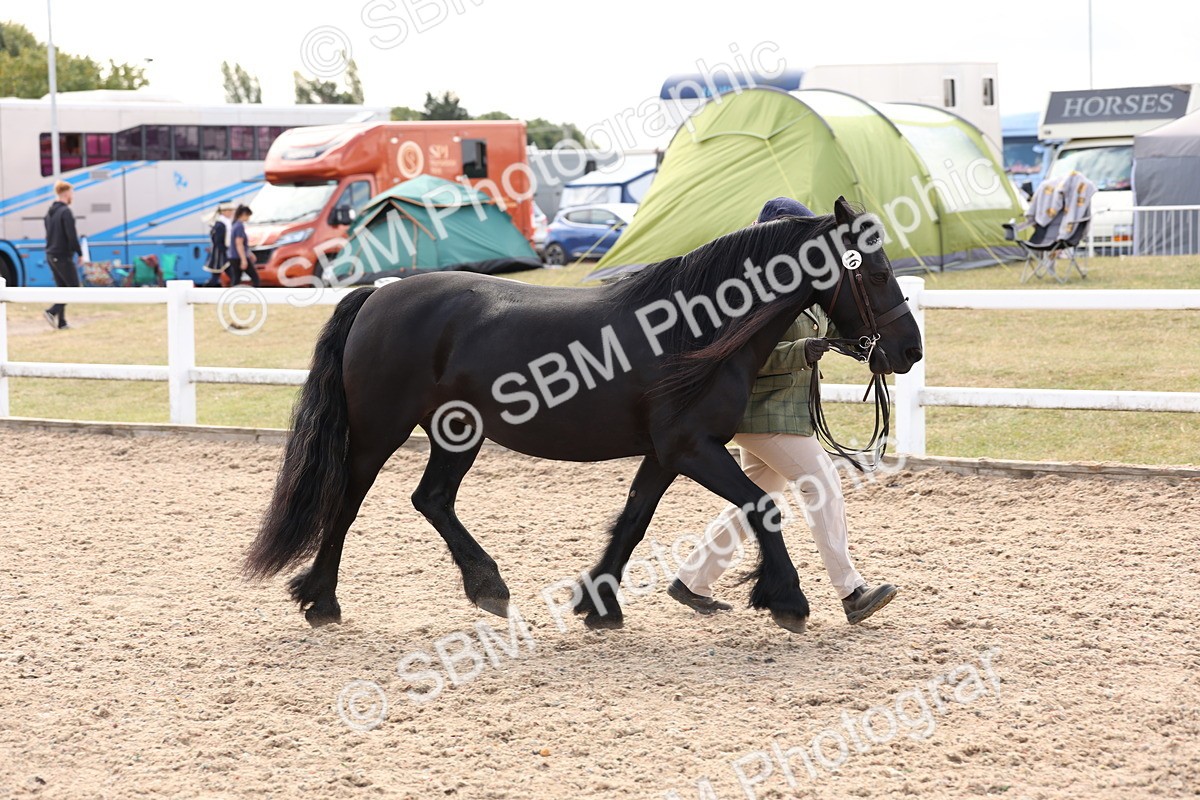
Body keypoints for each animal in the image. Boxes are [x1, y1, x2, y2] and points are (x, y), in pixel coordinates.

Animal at [243, 197, 923, 634]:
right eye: (876, 271)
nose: (909, 350)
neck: (694, 330)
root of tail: (377, 294)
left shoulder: (666, 453)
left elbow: (633, 522)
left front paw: (599, 606)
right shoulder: (691, 447)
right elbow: (762, 506)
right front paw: (787, 601)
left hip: (457, 433)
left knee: (431, 498)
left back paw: (487, 588)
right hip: (378, 431)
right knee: (347, 502)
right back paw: (322, 601)